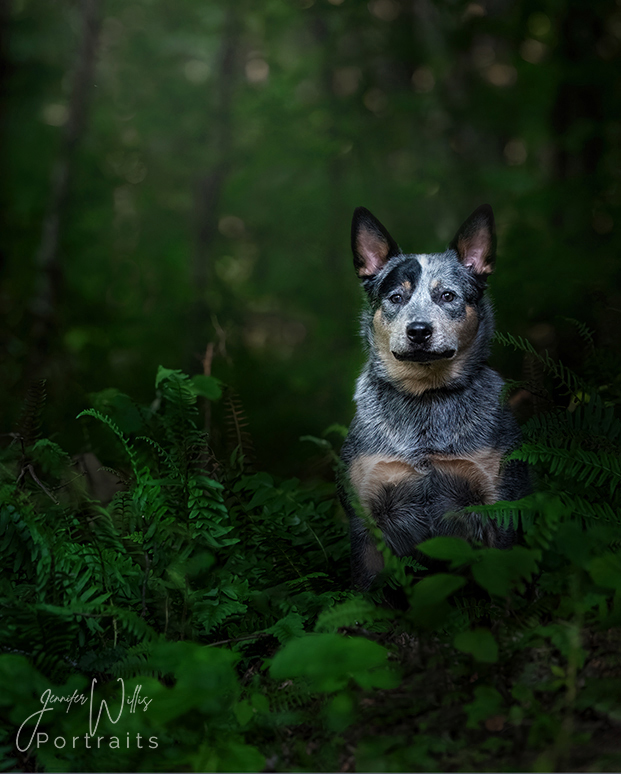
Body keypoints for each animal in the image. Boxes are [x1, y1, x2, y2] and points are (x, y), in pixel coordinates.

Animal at [342, 203, 532, 592]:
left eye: (447, 296)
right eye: (396, 298)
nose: (418, 331)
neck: (427, 401)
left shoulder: (499, 504)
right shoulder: (365, 517)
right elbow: (365, 590)